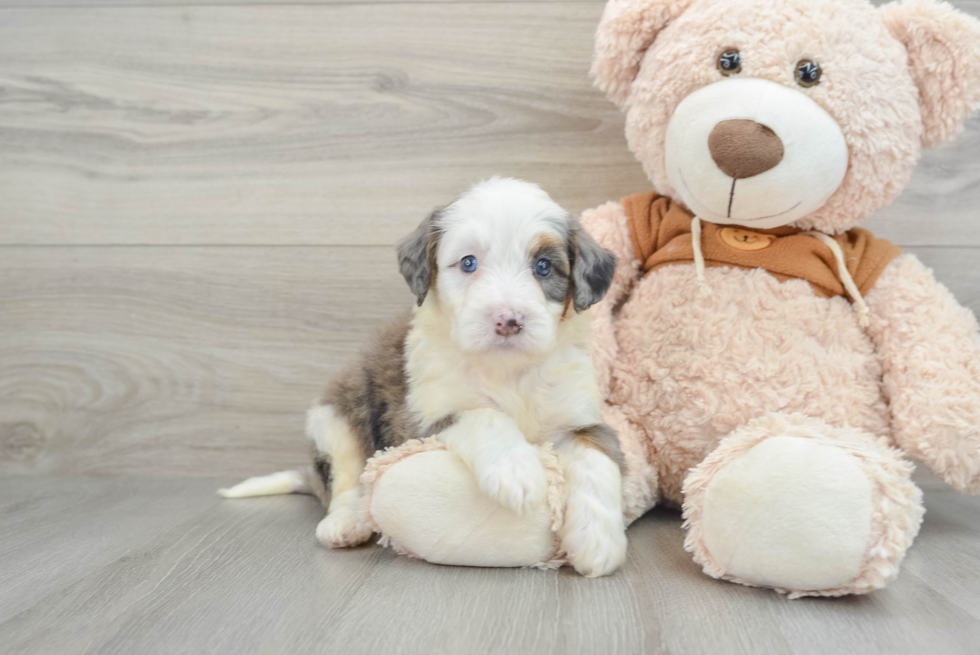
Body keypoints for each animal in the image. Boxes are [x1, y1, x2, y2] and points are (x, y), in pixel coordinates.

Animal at [222, 177, 628, 576]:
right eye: (468, 263)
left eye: (543, 267)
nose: (508, 321)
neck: (506, 369)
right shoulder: (421, 417)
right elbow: (484, 414)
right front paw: (517, 471)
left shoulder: (581, 417)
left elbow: (597, 460)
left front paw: (598, 542)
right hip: (335, 414)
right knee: (346, 479)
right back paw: (347, 522)